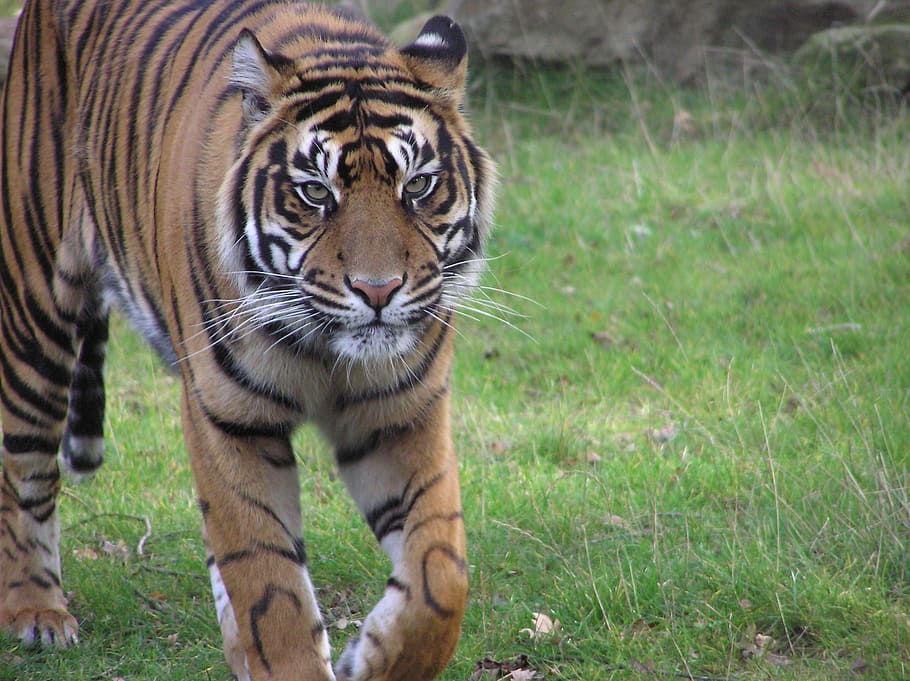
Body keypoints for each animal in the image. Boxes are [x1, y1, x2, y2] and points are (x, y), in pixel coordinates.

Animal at [0, 1, 496, 679]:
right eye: (316, 192)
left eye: (417, 185)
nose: (379, 290)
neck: (325, 352)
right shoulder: (228, 418)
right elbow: (268, 582)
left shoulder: (402, 414)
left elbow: (442, 576)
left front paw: (370, 659)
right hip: (35, 308)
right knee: (23, 470)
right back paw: (37, 612)